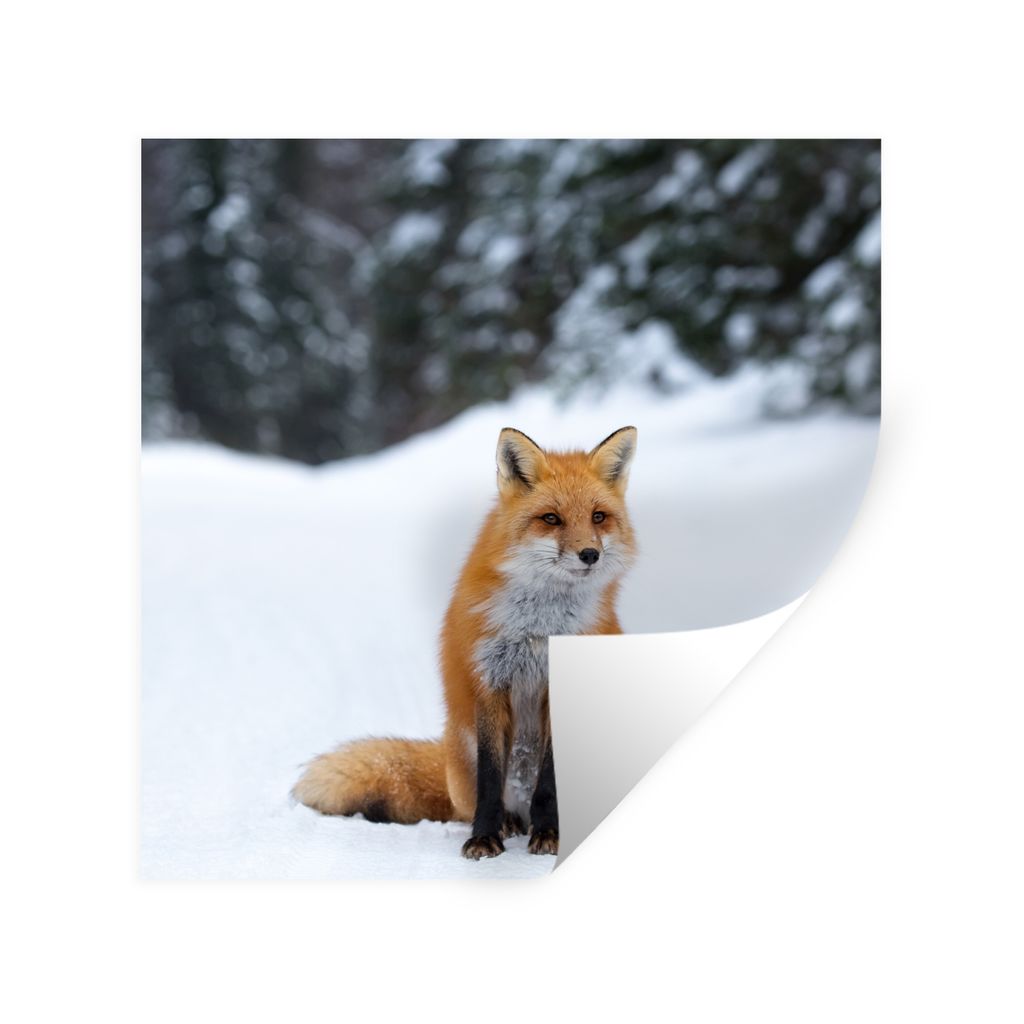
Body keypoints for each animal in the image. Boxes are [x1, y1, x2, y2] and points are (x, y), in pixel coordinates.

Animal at [292, 425, 638, 858]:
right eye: (551, 519)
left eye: (598, 517)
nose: (589, 554)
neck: (539, 628)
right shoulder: (488, 681)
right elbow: (490, 778)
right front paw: (484, 836)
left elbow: (548, 783)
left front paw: (549, 833)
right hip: (462, 753)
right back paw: (509, 823)